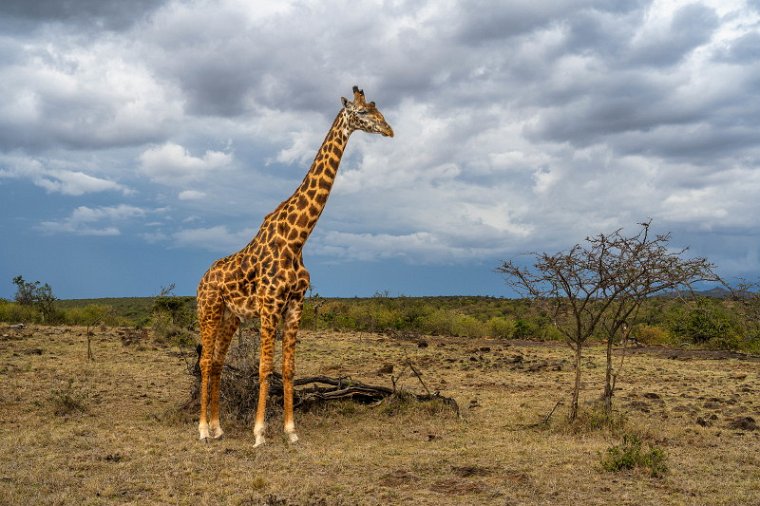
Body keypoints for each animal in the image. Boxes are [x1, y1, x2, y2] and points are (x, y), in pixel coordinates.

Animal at [193, 87, 394, 446]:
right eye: (363, 112)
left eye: (377, 108)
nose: (389, 130)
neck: (297, 240)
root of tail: (202, 278)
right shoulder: (270, 305)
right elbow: (264, 368)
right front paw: (259, 433)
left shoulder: (295, 305)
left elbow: (287, 369)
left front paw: (290, 431)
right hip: (210, 309)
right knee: (203, 361)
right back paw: (202, 429)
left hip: (232, 316)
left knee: (216, 363)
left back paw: (217, 427)